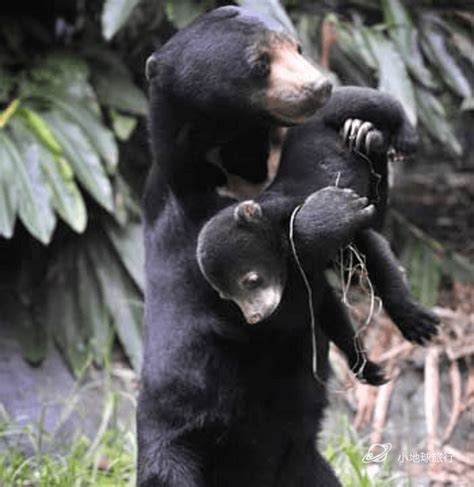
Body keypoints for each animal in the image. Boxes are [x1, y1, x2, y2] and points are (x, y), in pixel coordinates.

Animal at [139, 4, 368, 487]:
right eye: (259, 65)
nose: (321, 86)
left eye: (297, 47)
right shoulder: (192, 241)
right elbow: (271, 306)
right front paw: (330, 212)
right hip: (176, 446)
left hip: (305, 462)